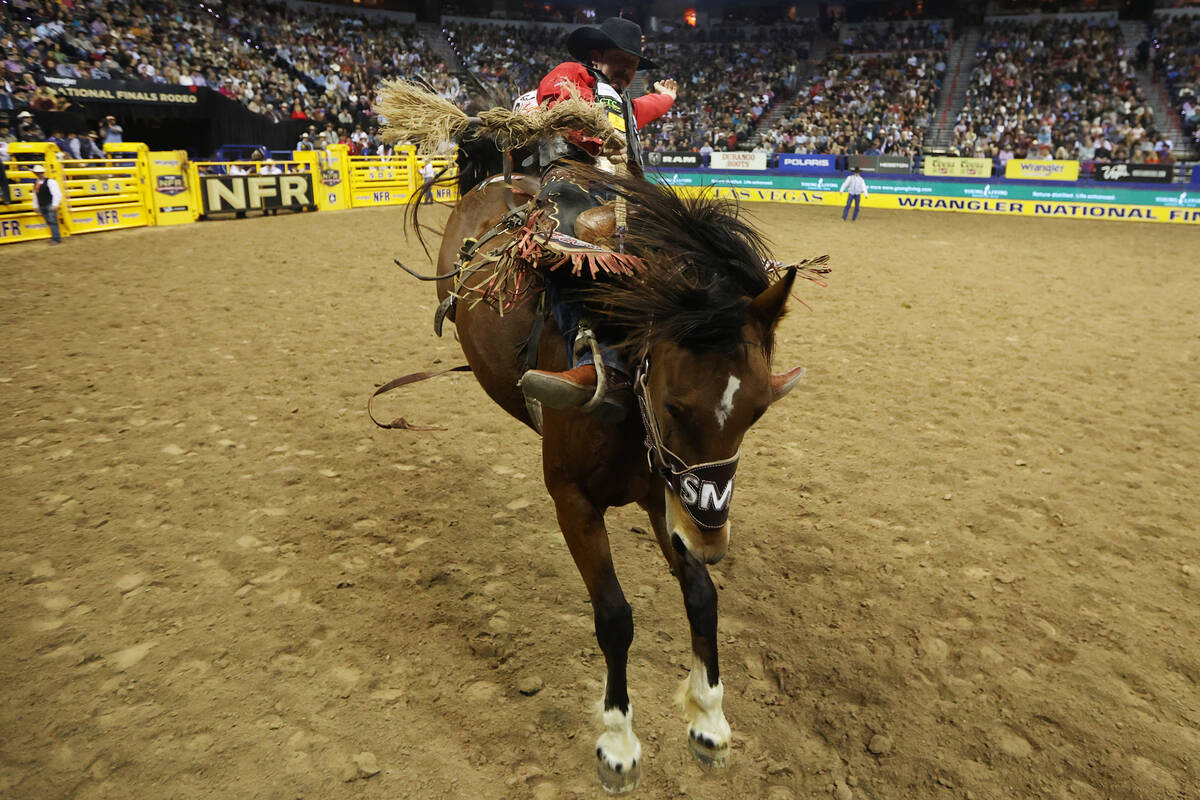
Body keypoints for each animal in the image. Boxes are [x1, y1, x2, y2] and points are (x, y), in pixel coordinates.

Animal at [415, 158, 816, 796]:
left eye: (757, 411)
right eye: (675, 405)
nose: (712, 542)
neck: (625, 383)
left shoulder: (667, 496)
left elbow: (702, 597)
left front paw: (709, 719)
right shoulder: (574, 500)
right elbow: (614, 617)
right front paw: (618, 744)